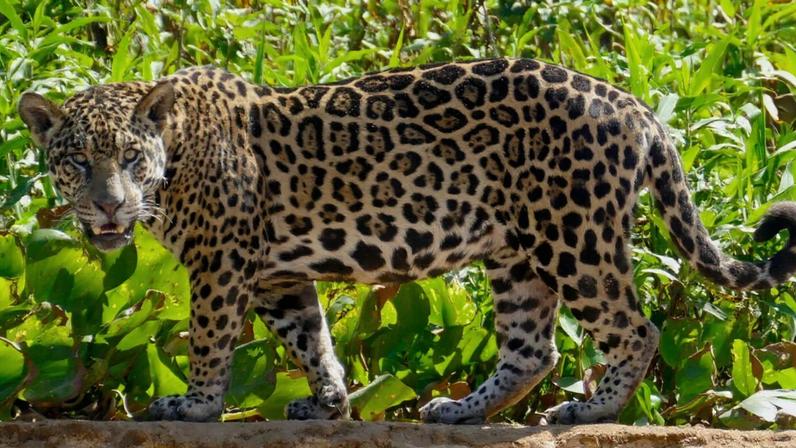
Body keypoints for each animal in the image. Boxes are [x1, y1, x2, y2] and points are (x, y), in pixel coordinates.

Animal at [18, 57, 796, 425]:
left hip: (572, 236)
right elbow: (312, 339)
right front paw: (330, 403)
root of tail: (633, 103)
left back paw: (591, 409)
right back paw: (460, 409)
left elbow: (210, 340)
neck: (174, 151)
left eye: (129, 158)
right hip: (515, 254)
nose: (109, 207)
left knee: (637, 328)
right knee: (533, 349)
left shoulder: (220, 263)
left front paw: (197, 405)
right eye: (77, 161)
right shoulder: (276, 275)